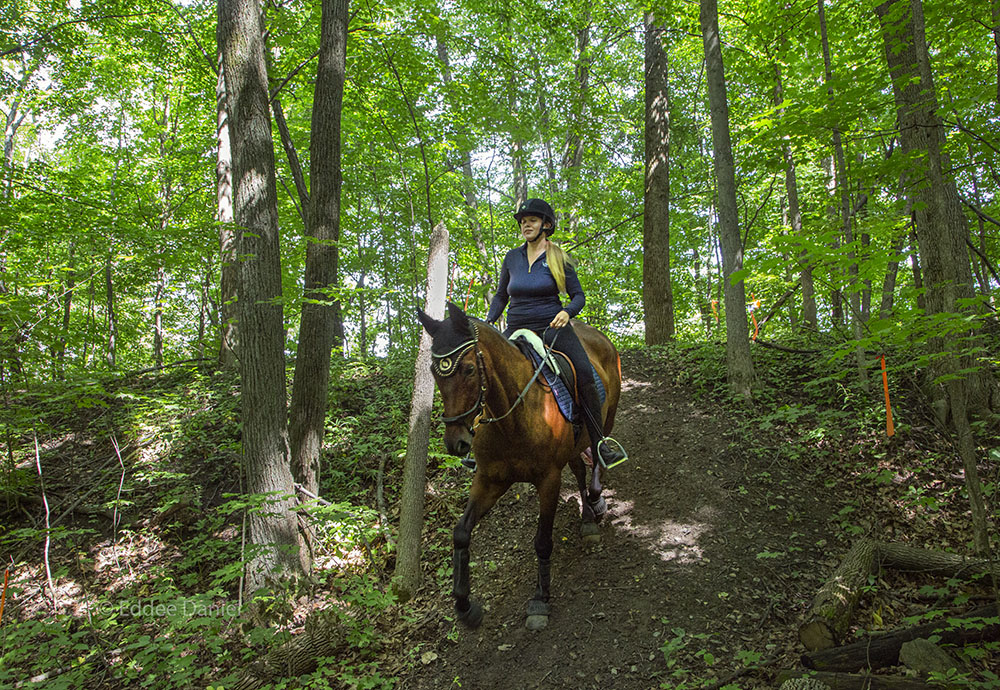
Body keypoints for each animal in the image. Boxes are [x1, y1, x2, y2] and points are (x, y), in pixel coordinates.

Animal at [412, 300, 616, 628]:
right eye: (434, 372)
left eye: (469, 369)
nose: (456, 443)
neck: (512, 415)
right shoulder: (490, 479)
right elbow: (461, 533)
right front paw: (465, 606)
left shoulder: (548, 479)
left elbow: (542, 541)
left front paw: (540, 600)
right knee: (579, 469)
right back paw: (587, 519)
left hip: (605, 418)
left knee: (598, 455)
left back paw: (596, 501)